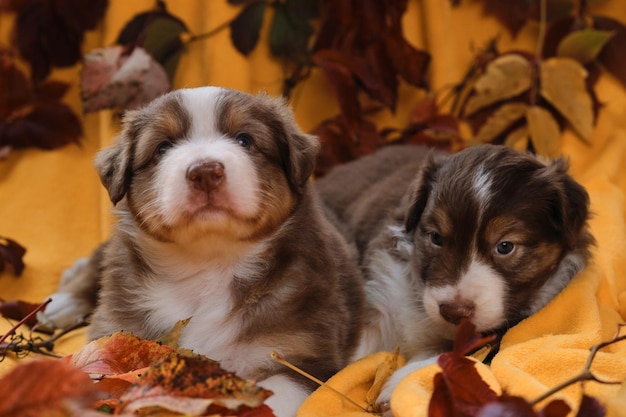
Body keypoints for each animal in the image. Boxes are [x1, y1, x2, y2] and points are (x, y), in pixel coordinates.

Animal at [46, 85, 364, 416]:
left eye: (244, 140)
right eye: (162, 147)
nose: (205, 172)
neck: (209, 264)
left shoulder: (304, 356)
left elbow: (272, 397)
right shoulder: (114, 330)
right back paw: (62, 303)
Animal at [314, 143, 592, 406]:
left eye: (505, 246)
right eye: (436, 237)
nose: (454, 312)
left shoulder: (515, 325)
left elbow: (461, 353)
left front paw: (397, 385)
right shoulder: (383, 301)